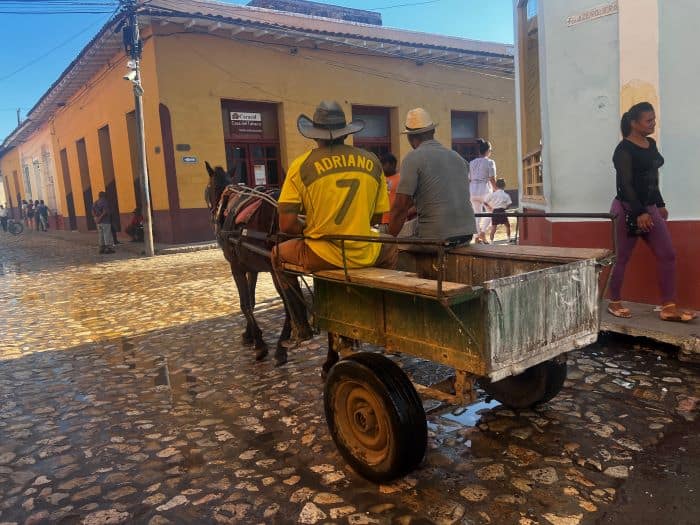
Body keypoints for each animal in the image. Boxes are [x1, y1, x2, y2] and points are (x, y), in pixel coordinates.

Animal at [202, 162, 312, 366]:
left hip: (279, 271)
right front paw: (249, 335)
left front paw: (260, 344)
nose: (212, 215)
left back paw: (281, 348)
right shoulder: (252, 269)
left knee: (289, 307)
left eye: (207, 189)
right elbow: (252, 302)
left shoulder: (236, 267)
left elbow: (244, 304)